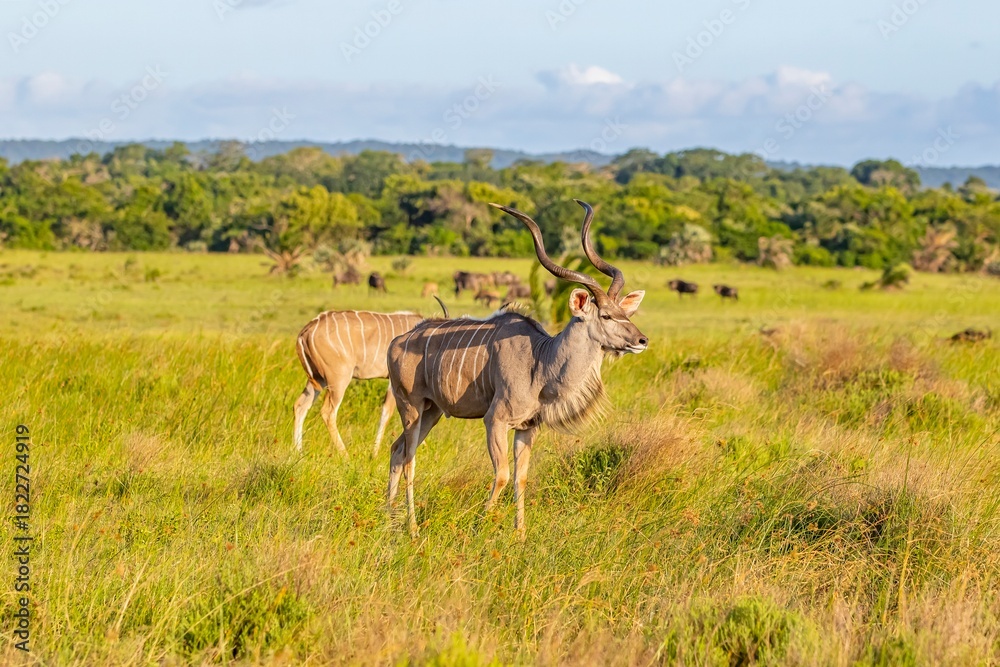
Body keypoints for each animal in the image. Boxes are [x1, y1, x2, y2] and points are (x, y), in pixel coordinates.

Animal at [293, 297, 448, 457]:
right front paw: (375, 453)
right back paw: (345, 455)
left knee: (300, 406)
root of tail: (308, 329)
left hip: (318, 380)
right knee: (328, 412)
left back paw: (299, 452)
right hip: (338, 381)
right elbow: (387, 413)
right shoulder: (395, 383)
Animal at [385, 200, 648, 539]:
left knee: (397, 451)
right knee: (409, 460)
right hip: (412, 407)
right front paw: (478, 527)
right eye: (605, 315)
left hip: (432, 411)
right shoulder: (495, 421)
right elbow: (502, 474)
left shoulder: (527, 428)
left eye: (624, 313)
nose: (641, 340)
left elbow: (520, 477)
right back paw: (413, 529)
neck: (541, 361)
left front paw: (520, 535)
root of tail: (396, 342)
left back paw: (388, 519)